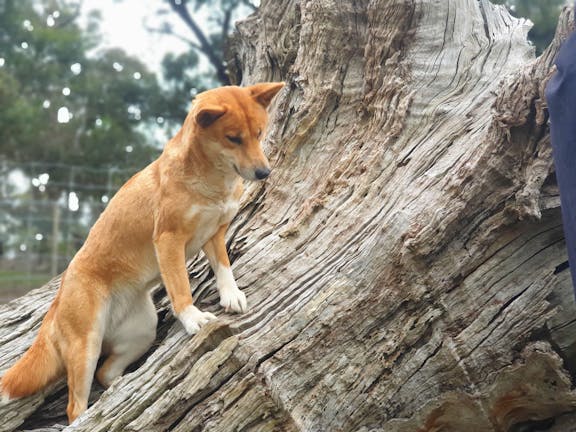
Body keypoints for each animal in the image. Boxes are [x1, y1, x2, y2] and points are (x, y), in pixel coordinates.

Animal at [1, 81, 284, 422]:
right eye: (233, 138)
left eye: (259, 133)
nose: (264, 173)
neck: (212, 181)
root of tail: (56, 302)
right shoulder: (168, 240)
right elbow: (180, 287)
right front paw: (192, 317)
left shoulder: (215, 233)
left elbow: (224, 267)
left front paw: (232, 294)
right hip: (86, 344)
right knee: (75, 405)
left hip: (142, 330)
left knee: (106, 373)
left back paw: (120, 389)